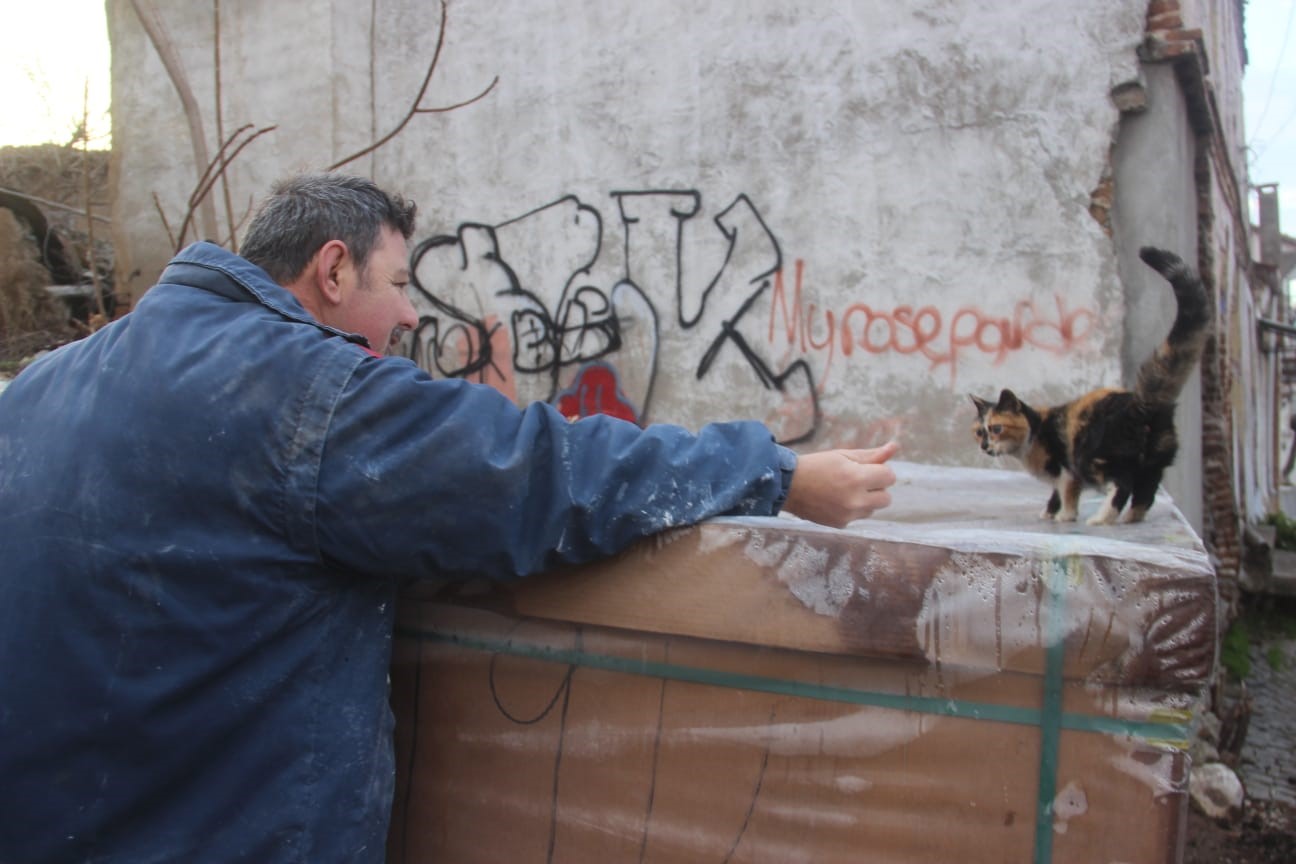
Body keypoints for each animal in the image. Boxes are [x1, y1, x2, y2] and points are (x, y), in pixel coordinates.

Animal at [974, 246, 1213, 523]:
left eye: (996, 428)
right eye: (979, 431)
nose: (984, 446)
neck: (1035, 431)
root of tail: (1144, 403)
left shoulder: (1066, 469)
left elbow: (1066, 493)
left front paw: (1063, 517)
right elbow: (1057, 494)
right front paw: (1050, 513)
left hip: (1095, 458)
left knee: (1123, 485)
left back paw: (1102, 519)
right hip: (1153, 463)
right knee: (1145, 494)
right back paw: (1131, 519)